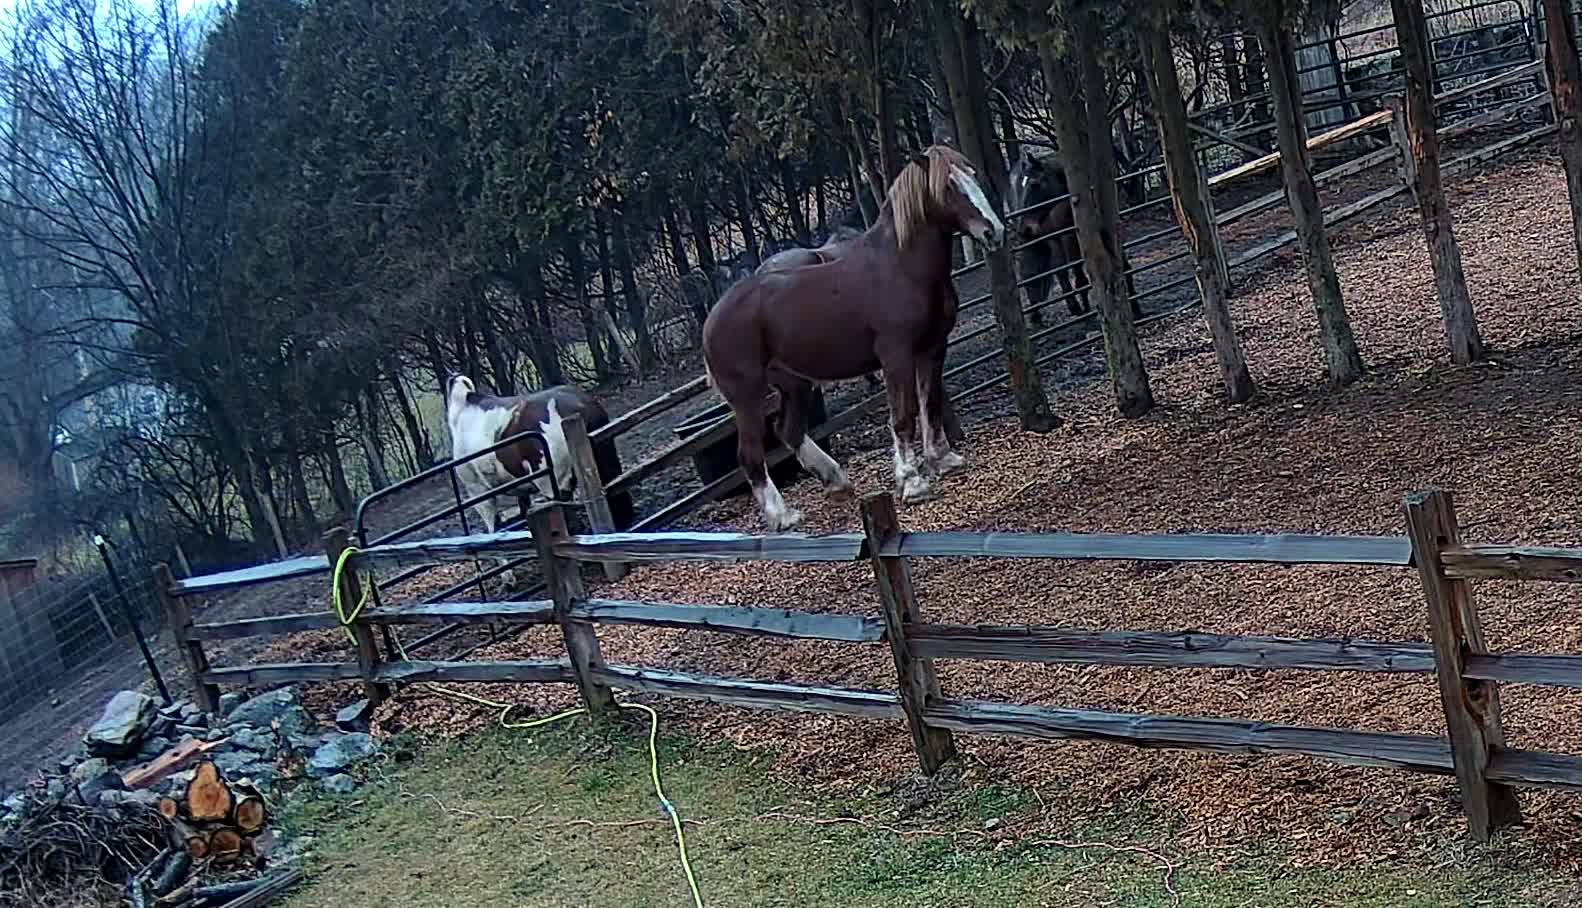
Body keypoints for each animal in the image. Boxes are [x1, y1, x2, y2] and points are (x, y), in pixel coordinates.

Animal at [702, 143, 999, 534]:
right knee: (750, 455)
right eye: (948, 186)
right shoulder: (896, 356)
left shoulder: (933, 349)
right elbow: (903, 414)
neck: (901, 266)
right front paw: (912, 482)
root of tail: (711, 321)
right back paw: (783, 517)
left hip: (794, 383)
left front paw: (944, 459)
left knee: (788, 430)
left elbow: (930, 403)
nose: (993, 231)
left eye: (972, 175)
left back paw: (836, 481)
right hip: (747, 397)